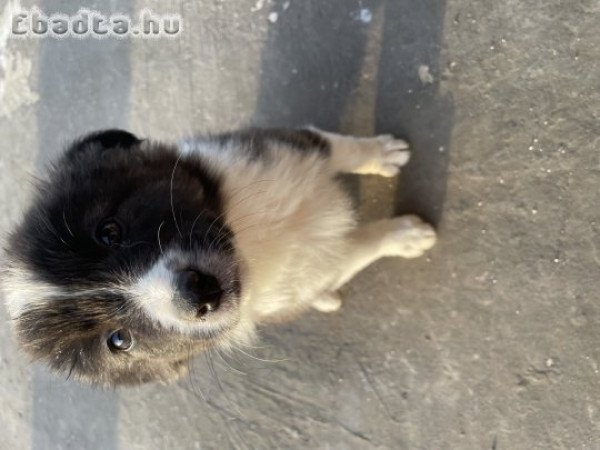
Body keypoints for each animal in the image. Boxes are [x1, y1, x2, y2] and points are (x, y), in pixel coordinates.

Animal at [1, 127, 436, 386]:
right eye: (119, 340)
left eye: (110, 231)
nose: (199, 295)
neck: (247, 242)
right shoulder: (313, 273)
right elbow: (355, 249)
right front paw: (406, 237)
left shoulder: (276, 143)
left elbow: (334, 145)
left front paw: (382, 153)